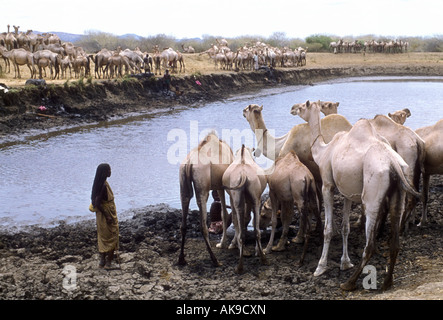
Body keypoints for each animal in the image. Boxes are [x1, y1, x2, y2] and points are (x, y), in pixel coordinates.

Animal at [180, 131, 236, 266]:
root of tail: (189, 164)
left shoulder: (219, 186)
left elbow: (223, 214)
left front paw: (222, 243)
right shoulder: (225, 186)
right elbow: (228, 213)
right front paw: (223, 243)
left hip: (183, 185)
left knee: (183, 223)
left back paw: (181, 259)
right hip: (203, 189)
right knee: (203, 225)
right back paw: (215, 260)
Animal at [222, 144, 268, 272]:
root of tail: (243, 174)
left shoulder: (233, 198)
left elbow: (237, 219)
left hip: (237, 195)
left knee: (238, 219)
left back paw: (240, 265)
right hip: (254, 196)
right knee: (256, 229)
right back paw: (261, 258)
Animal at [292, 101, 424, 292]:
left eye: (303, 106)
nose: (293, 108)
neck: (323, 151)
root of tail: (393, 164)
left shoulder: (327, 185)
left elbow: (328, 229)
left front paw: (320, 267)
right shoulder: (346, 192)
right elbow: (345, 227)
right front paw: (345, 262)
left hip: (372, 195)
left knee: (369, 245)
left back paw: (349, 283)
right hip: (399, 191)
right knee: (395, 240)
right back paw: (387, 282)